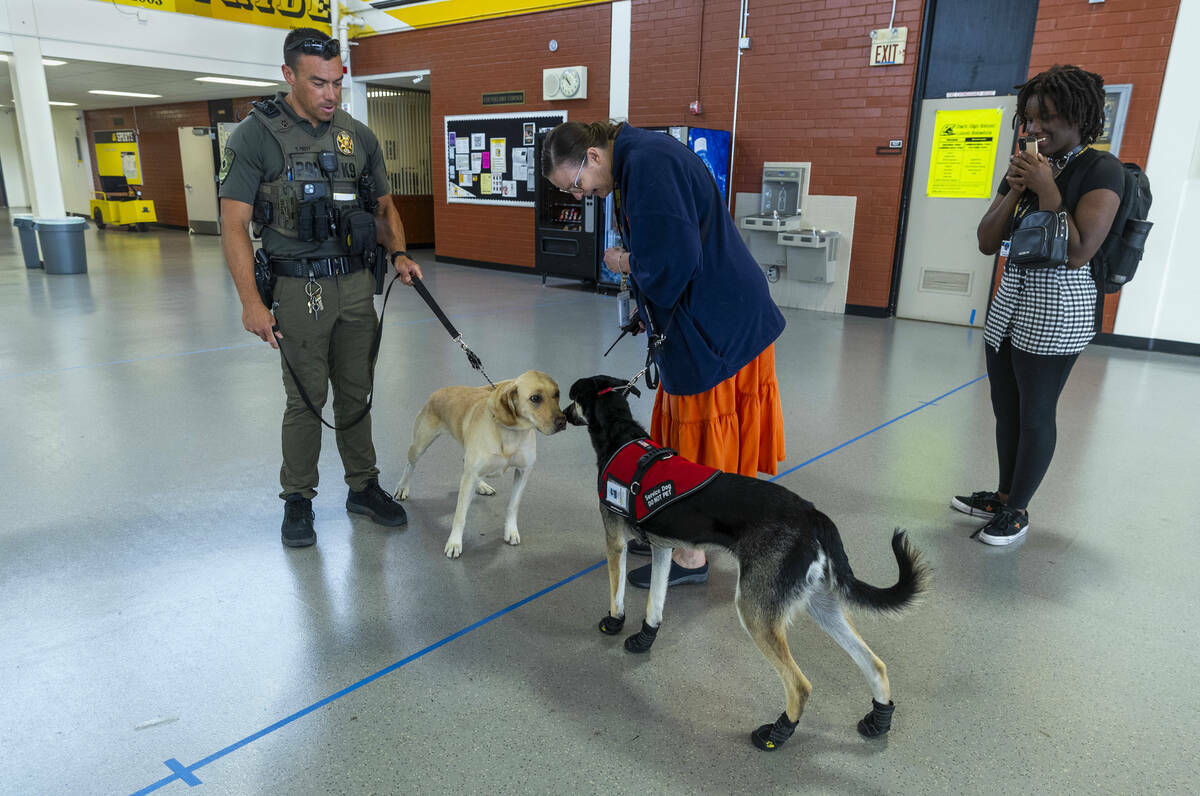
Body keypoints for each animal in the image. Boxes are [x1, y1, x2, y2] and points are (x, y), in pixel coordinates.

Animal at [561, 376, 926, 749]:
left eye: (573, 399)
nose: (562, 414)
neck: (621, 435)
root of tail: (813, 515)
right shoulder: (662, 548)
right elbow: (655, 603)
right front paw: (644, 638)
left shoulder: (614, 539)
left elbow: (616, 592)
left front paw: (613, 622)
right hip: (820, 603)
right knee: (874, 664)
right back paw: (878, 720)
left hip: (755, 609)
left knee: (800, 685)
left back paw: (778, 732)